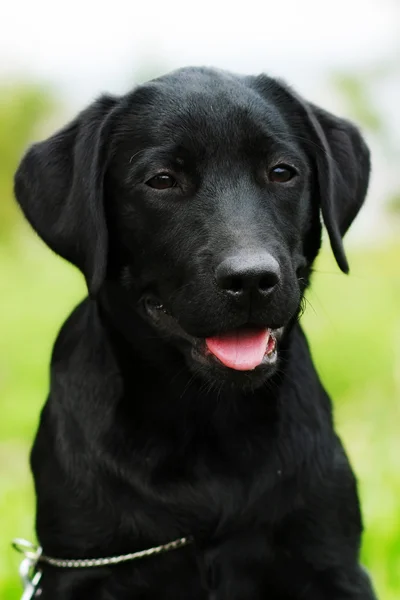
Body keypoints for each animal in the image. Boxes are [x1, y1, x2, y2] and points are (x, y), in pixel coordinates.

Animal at [14, 68, 376, 596]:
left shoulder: (331, 559)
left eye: (282, 172)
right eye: (162, 180)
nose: (251, 279)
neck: (208, 419)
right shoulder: (81, 564)